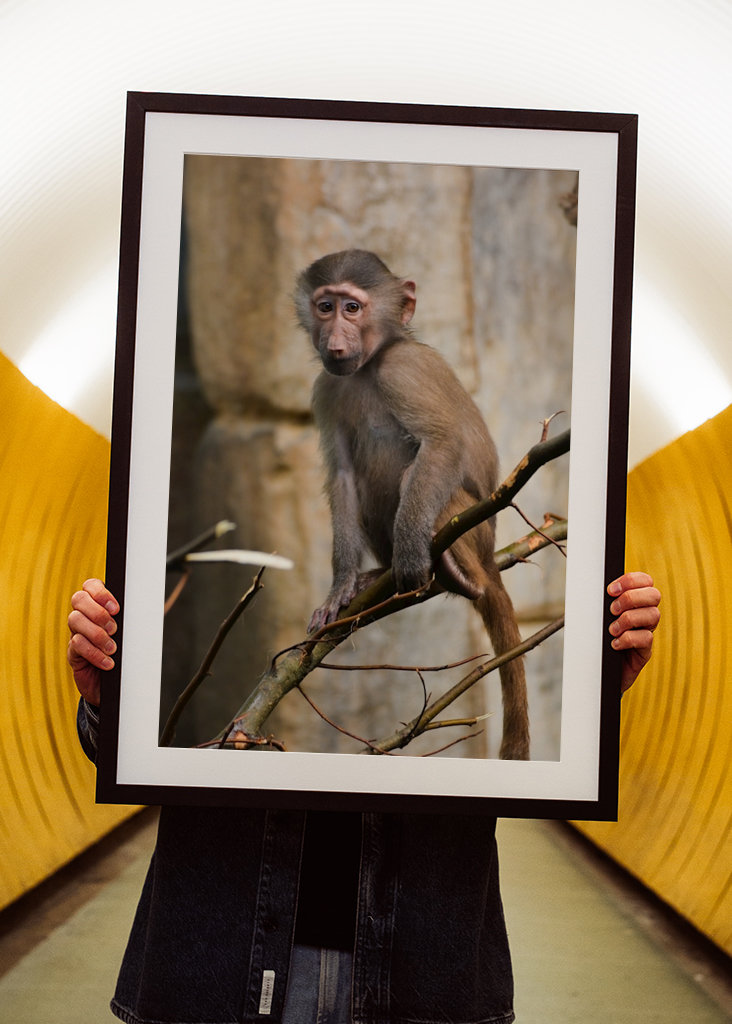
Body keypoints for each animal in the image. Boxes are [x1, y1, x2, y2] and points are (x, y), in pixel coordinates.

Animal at [296, 249, 529, 760]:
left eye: (352, 308)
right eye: (325, 306)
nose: (334, 340)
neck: (370, 365)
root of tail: (490, 555)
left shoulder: (404, 370)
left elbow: (442, 443)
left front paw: (408, 554)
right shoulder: (326, 387)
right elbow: (343, 479)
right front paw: (340, 587)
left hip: (475, 528)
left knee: (421, 476)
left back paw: (453, 573)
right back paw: (378, 576)